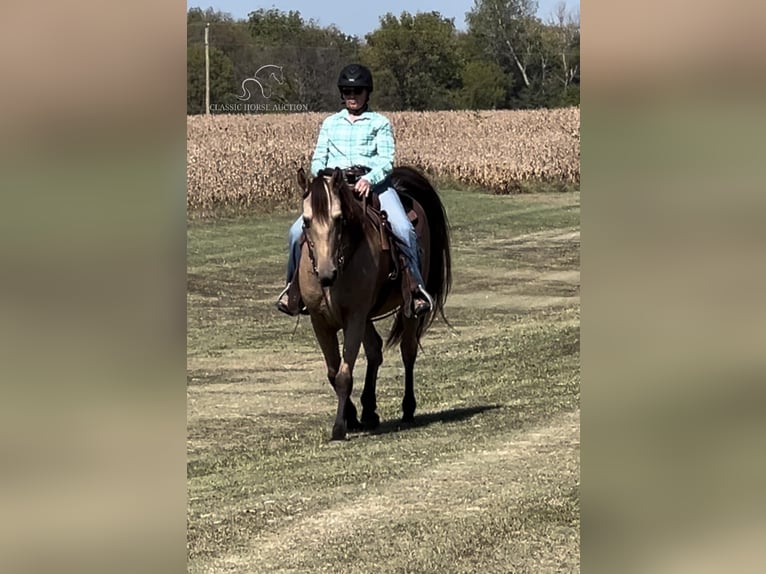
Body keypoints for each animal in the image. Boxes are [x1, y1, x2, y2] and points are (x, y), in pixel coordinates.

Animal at [292, 166, 450, 440]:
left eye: (339, 219)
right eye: (306, 221)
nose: (326, 274)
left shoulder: (354, 318)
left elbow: (344, 375)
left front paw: (339, 427)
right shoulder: (320, 321)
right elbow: (333, 372)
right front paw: (352, 417)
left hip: (407, 312)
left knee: (408, 352)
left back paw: (408, 409)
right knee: (375, 351)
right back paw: (368, 411)